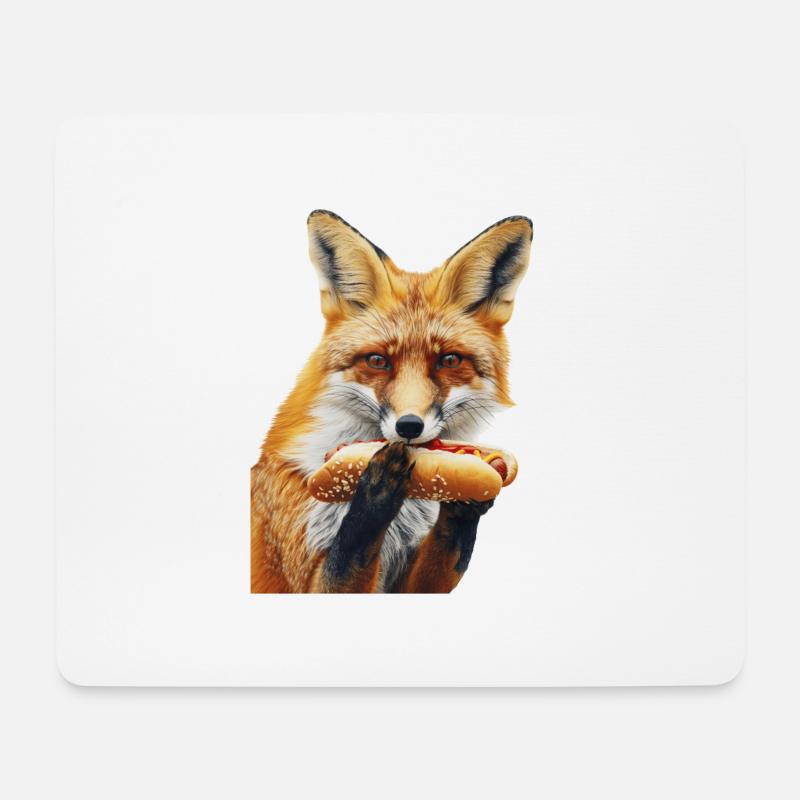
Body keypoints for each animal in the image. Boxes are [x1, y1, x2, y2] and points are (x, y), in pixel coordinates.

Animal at [251, 210, 532, 593]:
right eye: (377, 361)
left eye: (449, 361)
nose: (409, 426)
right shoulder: (302, 574)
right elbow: (350, 548)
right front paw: (377, 488)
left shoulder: (408, 584)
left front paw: (466, 501)